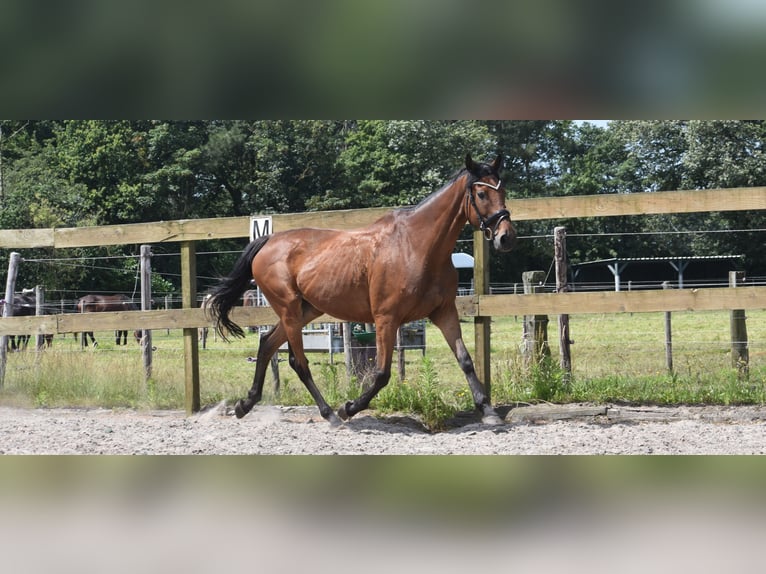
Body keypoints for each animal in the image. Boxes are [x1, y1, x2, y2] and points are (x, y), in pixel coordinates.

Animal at [207, 155, 520, 426]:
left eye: (503, 190)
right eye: (481, 194)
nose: (506, 238)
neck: (417, 247)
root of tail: (268, 241)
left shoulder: (444, 312)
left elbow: (465, 360)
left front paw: (488, 411)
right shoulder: (386, 319)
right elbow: (382, 373)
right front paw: (348, 408)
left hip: (305, 310)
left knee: (267, 344)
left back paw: (245, 405)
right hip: (289, 309)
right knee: (298, 361)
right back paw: (329, 414)